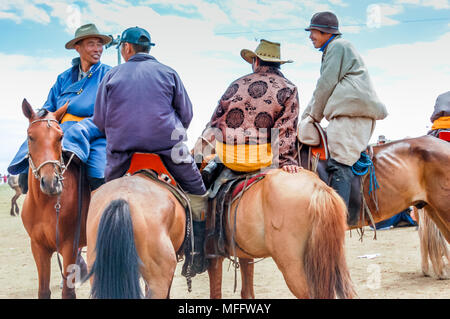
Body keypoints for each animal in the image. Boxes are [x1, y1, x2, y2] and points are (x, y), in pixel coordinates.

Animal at [20, 100, 89, 300]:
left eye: (60, 137)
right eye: (31, 137)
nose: (51, 182)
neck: (44, 205)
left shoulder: (69, 247)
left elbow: (68, 292)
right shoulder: (39, 248)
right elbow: (43, 291)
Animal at [193, 130, 356, 300]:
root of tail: (318, 187)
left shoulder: (214, 257)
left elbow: (216, 293)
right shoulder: (244, 253)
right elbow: (247, 292)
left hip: (291, 265)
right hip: (335, 260)